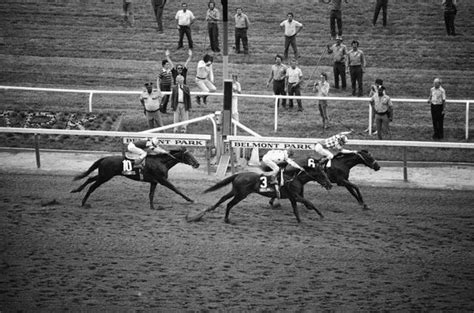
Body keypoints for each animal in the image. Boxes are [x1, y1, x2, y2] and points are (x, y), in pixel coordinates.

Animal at [69, 146, 199, 210]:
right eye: (188, 155)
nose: (197, 164)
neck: (161, 162)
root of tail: (104, 158)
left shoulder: (154, 182)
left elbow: (151, 194)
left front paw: (152, 207)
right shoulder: (162, 180)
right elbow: (176, 189)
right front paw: (190, 199)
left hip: (103, 175)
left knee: (90, 178)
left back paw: (76, 190)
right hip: (105, 177)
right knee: (92, 186)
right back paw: (83, 203)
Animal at [186, 157, 334, 223]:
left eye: (326, 173)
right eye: (322, 174)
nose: (330, 185)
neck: (295, 178)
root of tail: (238, 174)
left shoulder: (293, 198)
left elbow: (297, 209)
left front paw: (300, 220)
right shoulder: (296, 196)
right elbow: (310, 202)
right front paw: (321, 215)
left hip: (235, 191)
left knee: (223, 199)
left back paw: (207, 212)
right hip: (241, 194)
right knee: (229, 204)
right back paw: (226, 219)